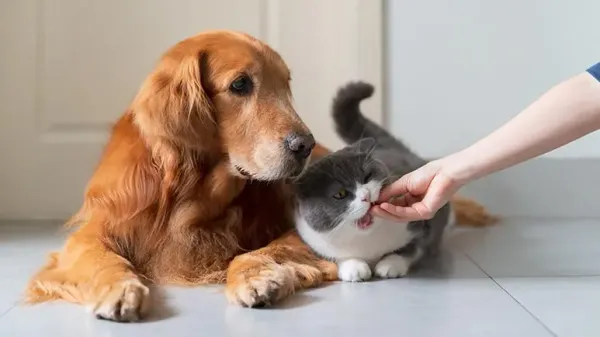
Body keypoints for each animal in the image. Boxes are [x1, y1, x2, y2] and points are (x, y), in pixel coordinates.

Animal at [294, 81, 454, 280]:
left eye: (367, 177)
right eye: (340, 194)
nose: (366, 195)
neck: (367, 242)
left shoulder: (422, 224)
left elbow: (411, 248)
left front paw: (390, 265)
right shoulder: (313, 241)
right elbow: (337, 257)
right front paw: (354, 268)